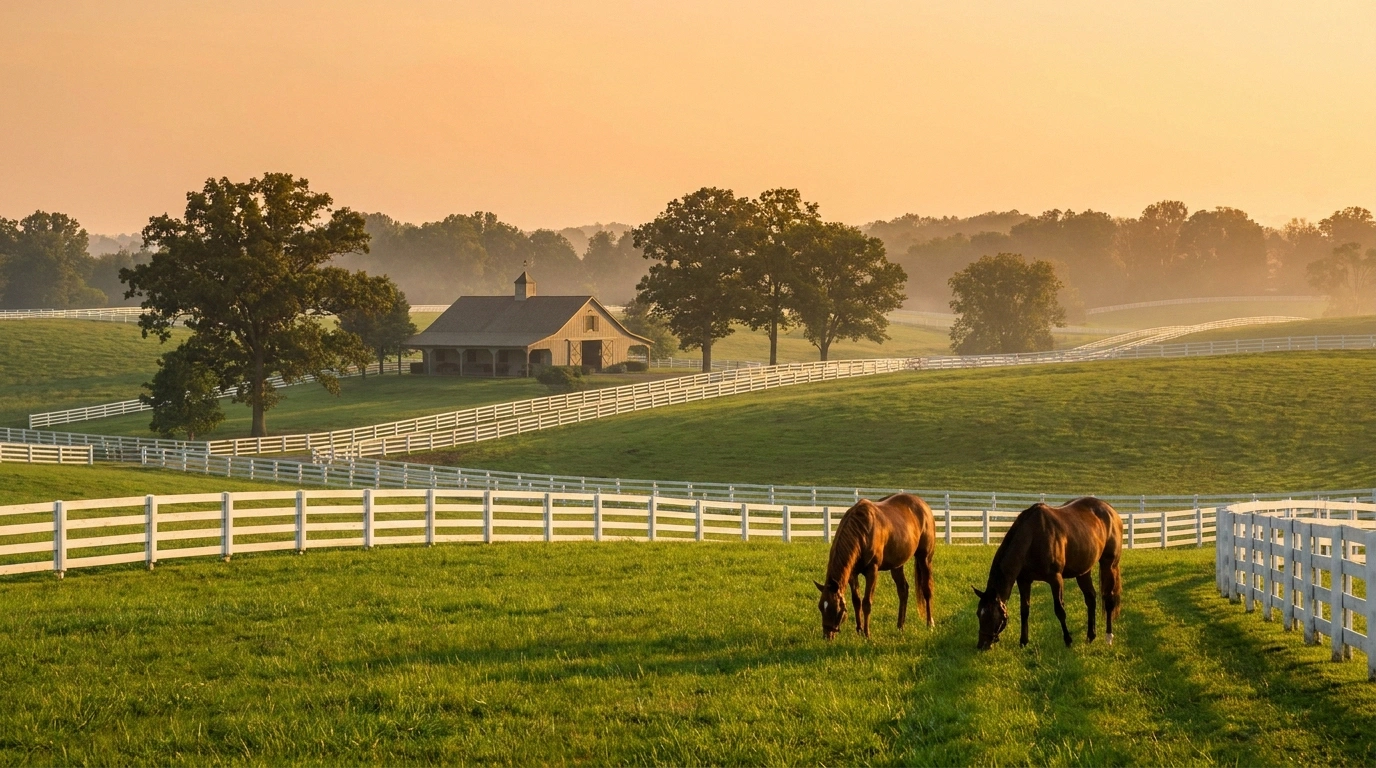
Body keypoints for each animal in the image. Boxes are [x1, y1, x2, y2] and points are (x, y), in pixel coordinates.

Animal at [814, 493, 937, 639]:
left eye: (836, 608)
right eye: (821, 607)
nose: (827, 636)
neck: (862, 531)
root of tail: (923, 504)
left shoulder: (872, 571)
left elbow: (867, 602)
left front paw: (867, 634)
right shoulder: (852, 574)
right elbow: (857, 601)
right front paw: (859, 630)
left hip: (925, 558)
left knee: (926, 589)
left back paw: (930, 624)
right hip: (897, 565)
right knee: (903, 590)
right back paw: (900, 626)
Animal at [973, 497, 1122, 650]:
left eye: (991, 615)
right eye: (979, 614)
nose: (982, 645)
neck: (1032, 536)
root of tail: (1111, 511)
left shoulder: (1055, 579)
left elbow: (1060, 610)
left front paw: (1068, 640)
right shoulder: (1024, 580)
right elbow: (1024, 610)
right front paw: (1023, 641)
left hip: (1109, 565)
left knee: (1109, 600)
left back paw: (1108, 637)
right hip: (1083, 571)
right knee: (1090, 598)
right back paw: (1090, 636)